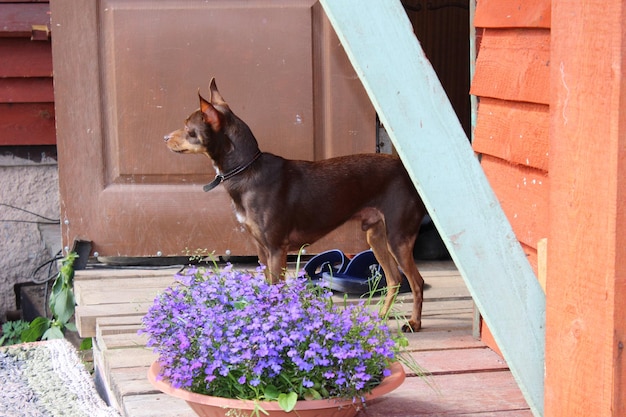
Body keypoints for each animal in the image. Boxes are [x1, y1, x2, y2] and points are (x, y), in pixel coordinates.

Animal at [163, 78, 426, 332]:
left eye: (188, 129)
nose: (164, 138)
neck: (247, 170)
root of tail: (407, 173)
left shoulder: (276, 249)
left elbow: (276, 289)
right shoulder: (262, 250)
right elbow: (268, 287)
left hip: (398, 239)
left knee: (416, 282)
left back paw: (414, 323)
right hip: (376, 237)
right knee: (394, 279)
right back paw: (382, 315)